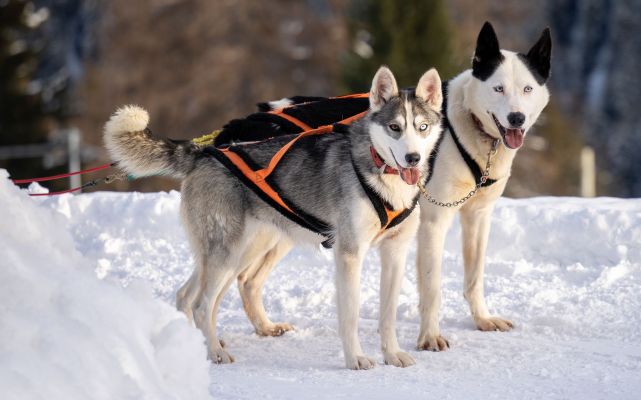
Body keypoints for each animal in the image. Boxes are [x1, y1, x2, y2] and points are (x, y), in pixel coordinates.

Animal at [105, 65, 444, 368]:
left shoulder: (395, 252)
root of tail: (204, 154)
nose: (412, 158)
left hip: (237, 253)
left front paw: (393, 354)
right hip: (228, 253)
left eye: (422, 127)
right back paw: (215, 352)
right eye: (395, 128)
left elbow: (387, 315)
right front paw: (355, 359)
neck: (380, 173)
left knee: (188, 296)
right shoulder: (350, 254)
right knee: (202, 304)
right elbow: (350, 315)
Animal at [416, 23, 552, 352]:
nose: (516, 118)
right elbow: (432, 288)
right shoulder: (433, 222)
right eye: (498, 88)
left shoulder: (478, 217)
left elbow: (474, 278)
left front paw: (482, 319)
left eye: (527, 89)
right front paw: (430, 335)